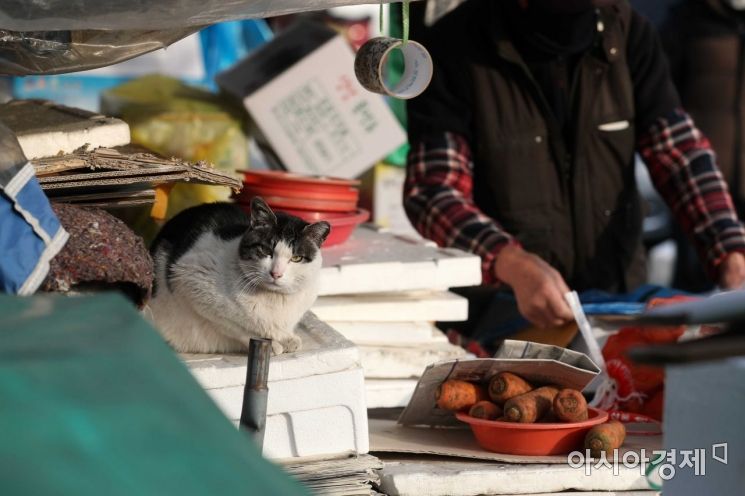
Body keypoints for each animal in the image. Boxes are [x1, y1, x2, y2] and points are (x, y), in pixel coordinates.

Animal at [148, 196, 328, 354]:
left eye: (296, 258)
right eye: (265, 250)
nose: (276, 273)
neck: (276, 300)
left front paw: (287, 338)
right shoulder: (189, 279)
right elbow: (237, 326)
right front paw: (273, 344)